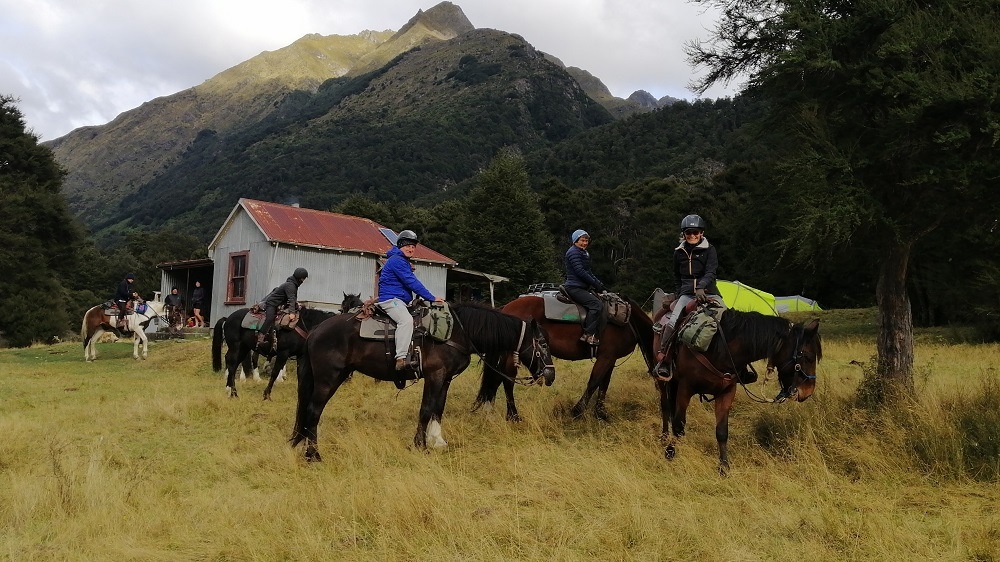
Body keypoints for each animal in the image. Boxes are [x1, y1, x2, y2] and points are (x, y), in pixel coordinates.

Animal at [213, 294, 366, 398]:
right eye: (344, 305)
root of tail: (228, 318)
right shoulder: (283, 352)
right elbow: (275, 372)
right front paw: (267, 394)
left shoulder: (300, 355)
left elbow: (300, 374)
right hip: (237, 346)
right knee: (233, 363)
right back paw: (234, 391)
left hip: (243, 348)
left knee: (233, 364)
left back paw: (230, 388)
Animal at [290, 302, 560, 460]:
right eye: (543, 344)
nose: (550, 375)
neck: (457, 332)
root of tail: (315, 331)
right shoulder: (435, 375)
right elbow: (426, 409)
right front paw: (420, 445)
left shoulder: (446, 378)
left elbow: (438, 409)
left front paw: (437, 440)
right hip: (328, 378)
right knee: (313, 411)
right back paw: (313, 454)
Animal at [474, 296, 656, 418]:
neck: (629, 322)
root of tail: (505, 308)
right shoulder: (605, 357)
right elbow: (594, 382)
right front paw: (577, 411)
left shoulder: (610, 359)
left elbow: (604, 384)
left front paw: (600, 413)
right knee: (508, 380)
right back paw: (513, 415)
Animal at [656, 310, 820, 472]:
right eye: (808, 357)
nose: (808, 392)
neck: (720, 348)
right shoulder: (685, 388)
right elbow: (678, 425)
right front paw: (670, 452)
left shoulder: (727, 392)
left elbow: (722, 431)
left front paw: (723, 466)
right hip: (665, 380)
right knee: (666, 407)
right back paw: (664, 436)